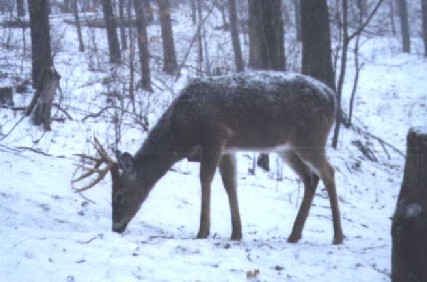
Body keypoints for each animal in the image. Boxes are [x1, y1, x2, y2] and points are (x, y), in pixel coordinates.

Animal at [73, 71, 346, 245]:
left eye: (119, 194)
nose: (116, 227)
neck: (180, 133)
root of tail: (333, 97)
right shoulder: (227, 148)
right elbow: (230, 185)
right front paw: (236, 233)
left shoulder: (214, 135)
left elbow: (205, 180)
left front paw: (203, 231)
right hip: (286, 146)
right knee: (311, 178)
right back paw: (294, 234)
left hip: (310, 136)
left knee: (329, 172)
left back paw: (337, 236)